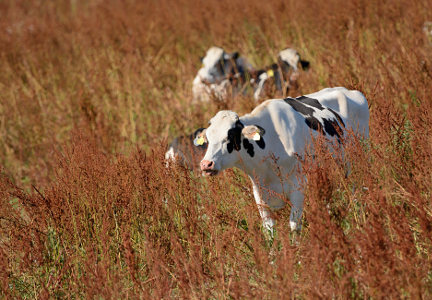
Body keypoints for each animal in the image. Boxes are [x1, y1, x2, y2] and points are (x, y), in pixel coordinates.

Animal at [194, 86, 370, 232]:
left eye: (229, 137)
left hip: (357, 163)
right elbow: (269, 231)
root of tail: (350, 90)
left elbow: (294, 227)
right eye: (208, 138)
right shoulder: (260, 194)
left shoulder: (298, 187)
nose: (206, 164)